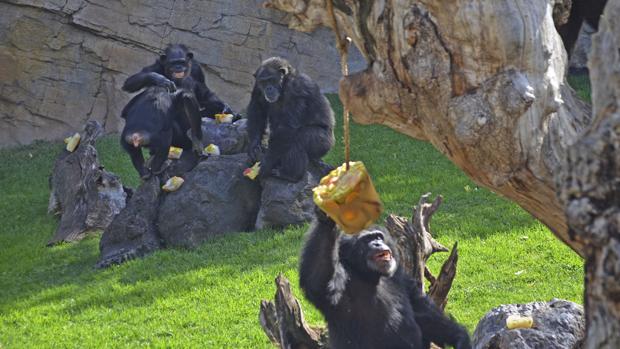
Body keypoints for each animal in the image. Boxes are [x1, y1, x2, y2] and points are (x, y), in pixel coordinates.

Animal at [300, 208, 470, 346]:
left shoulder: (402, 277)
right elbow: (319, 278)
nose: (377, 243)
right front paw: (327, 219)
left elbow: (423, 312)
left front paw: (460, 337)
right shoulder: (338, 286)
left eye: (378, 237)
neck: (370, 275)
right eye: (366, 240)